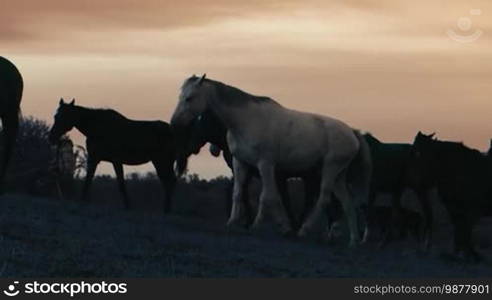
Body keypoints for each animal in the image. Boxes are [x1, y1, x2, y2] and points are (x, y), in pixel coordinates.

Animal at [171, 74, 370, 246]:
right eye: (180, 96)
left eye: (189, 98)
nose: (174, 122)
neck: (247, 120)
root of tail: (352, 132)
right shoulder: (240, 163)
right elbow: (238, 193)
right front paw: (232, 223)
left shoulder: (265, 164)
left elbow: (267, 197)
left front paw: (258, 225)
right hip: (339, 175)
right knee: (347, 203)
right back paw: (353, 241)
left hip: (330, 169)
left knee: (324, 199)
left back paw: (304, 230)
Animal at [412, 132, 492, 262]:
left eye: (417, 153)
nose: (417, 182)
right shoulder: (453, 209)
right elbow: (460, 230)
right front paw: (461, 254)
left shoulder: (472, 210)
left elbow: (465, 231)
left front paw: (471, 255)